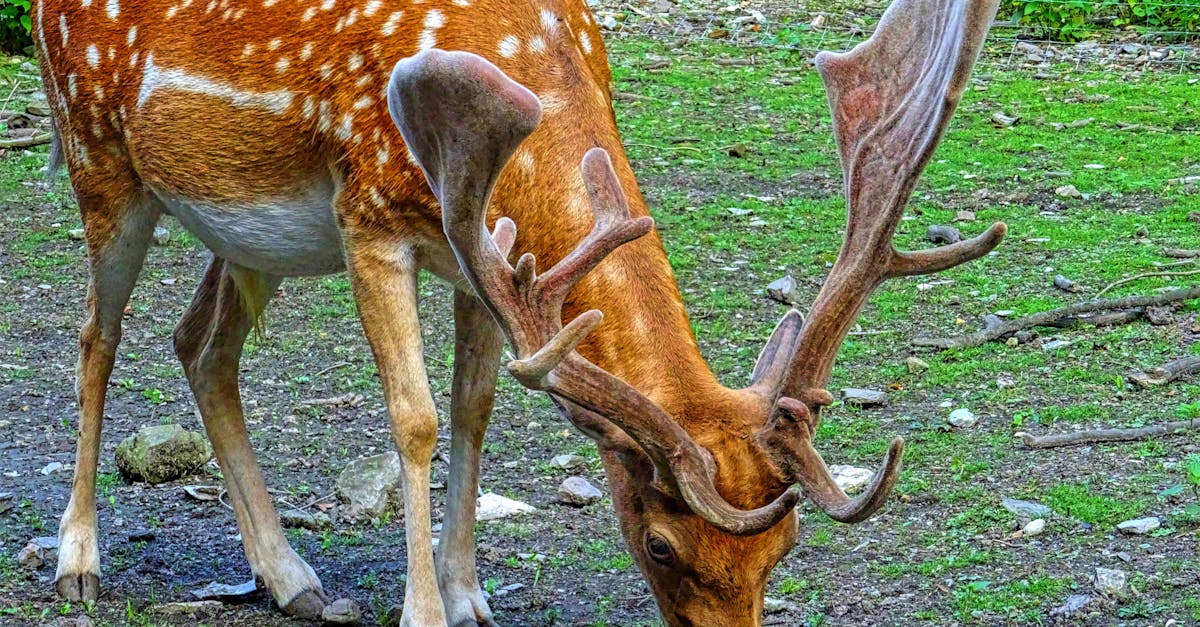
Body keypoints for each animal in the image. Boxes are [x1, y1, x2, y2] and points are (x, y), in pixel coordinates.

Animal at [31, 0, 1002, 622]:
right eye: (659, 545)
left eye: (785, 549)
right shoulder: (368, 218)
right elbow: (415, 417)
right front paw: (424, 610)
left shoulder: (476, 261)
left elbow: (475, 408)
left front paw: (470, 596)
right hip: (97, 157)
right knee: (95, 338)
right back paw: (78, 560)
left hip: (243, 236)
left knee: (199, 345)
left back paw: (290, 577)